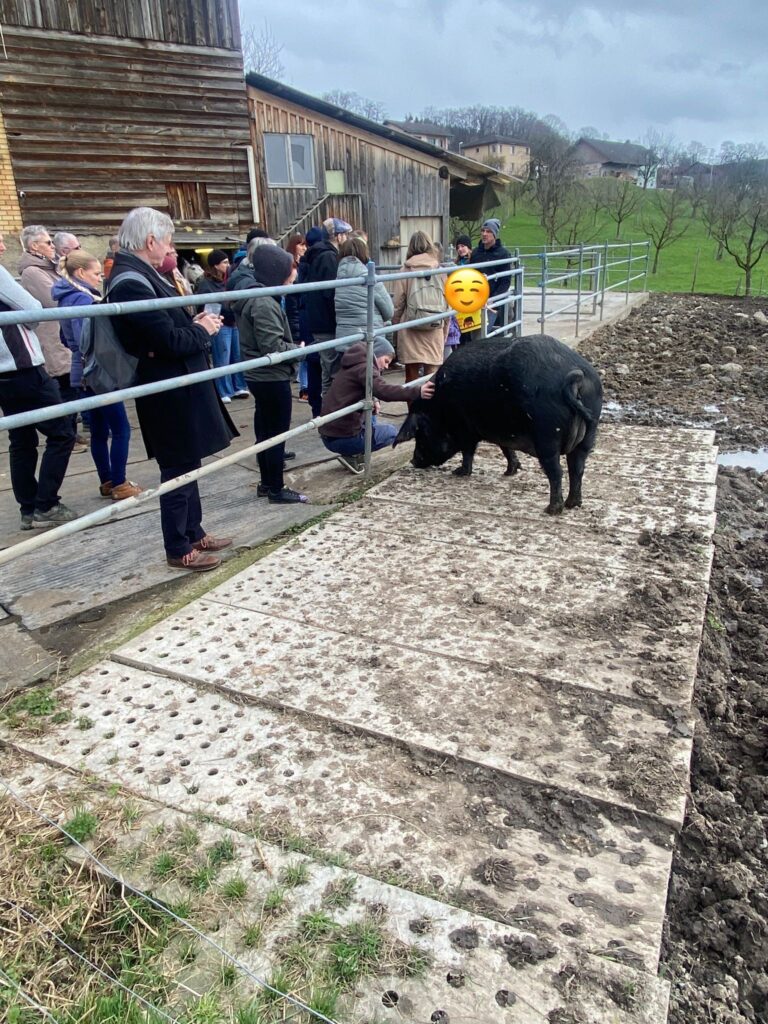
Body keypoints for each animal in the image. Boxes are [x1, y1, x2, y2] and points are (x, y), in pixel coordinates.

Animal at [393, 333, 606, 512]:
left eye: (420, 433)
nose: (413, 460)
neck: (441, 406)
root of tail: (575, 375)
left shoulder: (465, 428)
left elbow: (468, 451)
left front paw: (459, 472)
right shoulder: (503, 430)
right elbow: (506, 449)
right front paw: (510, 472)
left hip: (547, 434)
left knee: (557, 471)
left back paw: (552, 509)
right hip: (589, 431)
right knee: (577, 468)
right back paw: (573, 504)